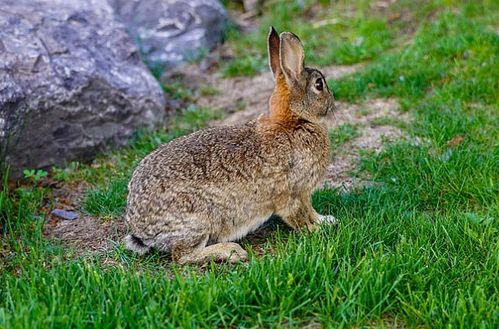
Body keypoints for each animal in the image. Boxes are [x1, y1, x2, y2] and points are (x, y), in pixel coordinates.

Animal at [123, 26, 338, 264]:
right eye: (319, 84)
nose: (333, 101)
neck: (294, 121)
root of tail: (141, 230)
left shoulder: (304, 194)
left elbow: (311, 210)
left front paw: (326, 220)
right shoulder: (293, 193)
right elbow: (299, 217)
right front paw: (316, 230)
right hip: (198, 219)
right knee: (182, 256)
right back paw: (232, 251)